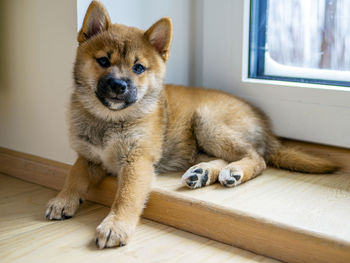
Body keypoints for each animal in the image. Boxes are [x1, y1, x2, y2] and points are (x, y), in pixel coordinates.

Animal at [45, 0, 338, 250]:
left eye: (138, 68)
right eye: (103, 61)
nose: (119, 86)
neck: (109, 120)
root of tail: (266, 128)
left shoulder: (137, 161)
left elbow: (126, 196)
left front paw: (115, 225)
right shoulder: (88, 158)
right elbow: (73, 176)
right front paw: (63, 199)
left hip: (207, 122)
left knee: (256, 158)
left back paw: (234, 172)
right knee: (227, 157)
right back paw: (204, 173)